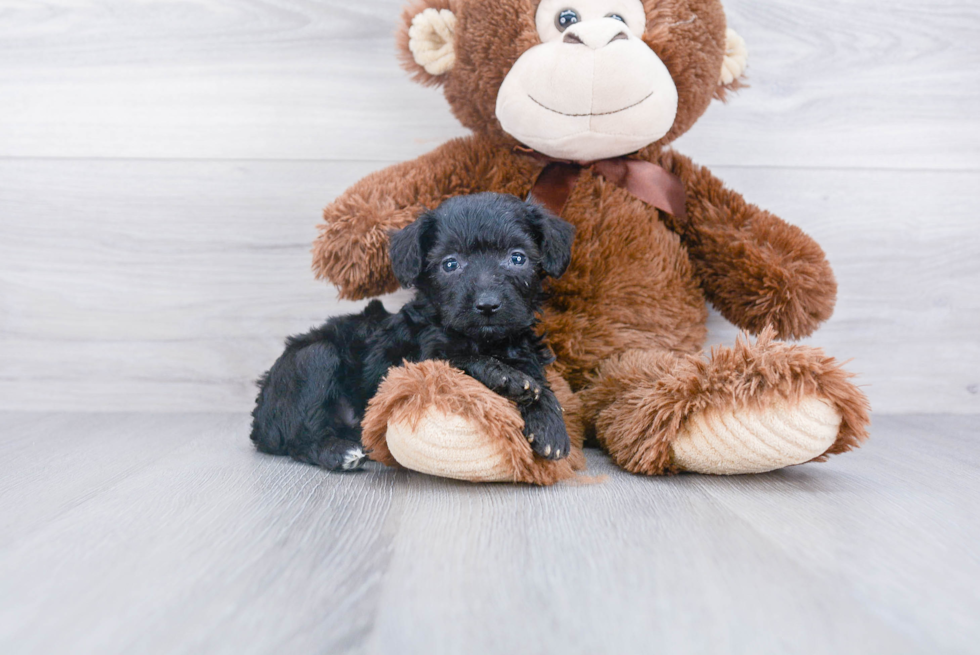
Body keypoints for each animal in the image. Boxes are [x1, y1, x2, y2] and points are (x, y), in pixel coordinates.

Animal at [249, 193, 580, 472]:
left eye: (517, 258)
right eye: (450, 264)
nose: (487, 304)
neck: (486, 341)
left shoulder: (524, 348)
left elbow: (538, 380)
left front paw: (550, 424)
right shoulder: (418, 358)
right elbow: (461, 359)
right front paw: (505, 376)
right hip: (314, 358)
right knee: (300, 435)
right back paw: (338, 451)